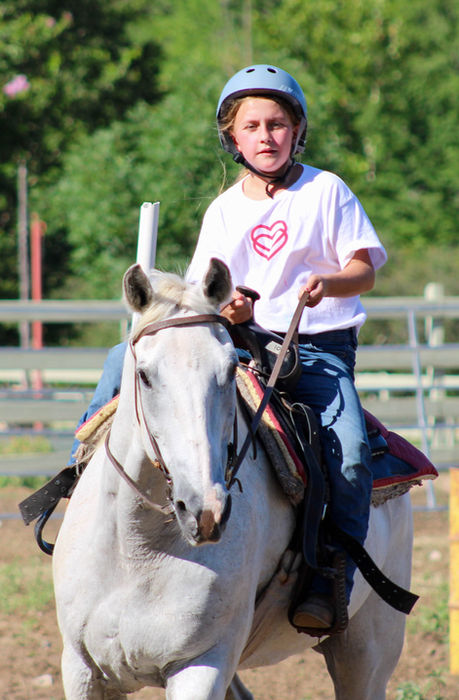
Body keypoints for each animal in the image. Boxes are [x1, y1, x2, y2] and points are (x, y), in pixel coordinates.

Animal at [52, 258, 414, 700]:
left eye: (227, 369)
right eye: (144, 375)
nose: (204, 509)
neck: (135, 550)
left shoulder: (204, 663)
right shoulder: (81, 668)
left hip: (368, 651)